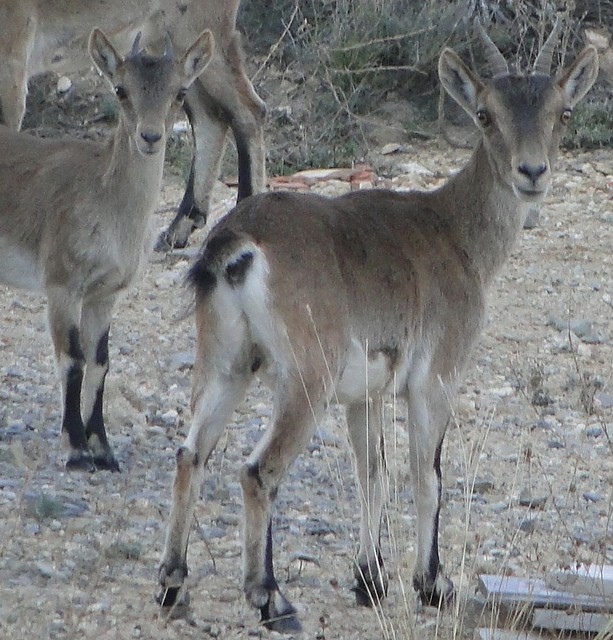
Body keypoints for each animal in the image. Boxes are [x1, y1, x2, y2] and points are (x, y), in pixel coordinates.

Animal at [0, 0, 262, 250]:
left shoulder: (12, 56)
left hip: (202, 27)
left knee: (248, 110)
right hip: (167, 40)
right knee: (210, 116)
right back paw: (178, 228)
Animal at [0, 27, 215, 472]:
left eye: (180, 92)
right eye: (120, 89)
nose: (150, 137)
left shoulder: (105, 294)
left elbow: (100, 363)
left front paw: (103, 449)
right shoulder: (62, 285)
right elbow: (72, 360)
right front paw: (77, 450)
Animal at [155, 20, 596, 632]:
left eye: (562, 112)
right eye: (485, 114)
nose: (531, 173)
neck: (457, 234)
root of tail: (235, 246)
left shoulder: (362, 393)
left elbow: (373, 471)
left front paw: (370, 579)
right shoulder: (435, 378)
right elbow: (426, 473)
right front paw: (432, 583)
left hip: (227, 360)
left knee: (190, 453)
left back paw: (173, 585)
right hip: (305, 378)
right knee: (258, 470)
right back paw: (271, 599)